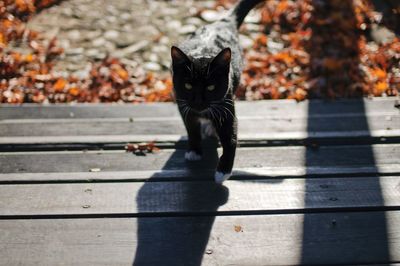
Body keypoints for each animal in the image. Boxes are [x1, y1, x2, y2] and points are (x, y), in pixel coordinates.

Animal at [170, 0, 264, 183]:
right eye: (188, 86)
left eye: (211, 87)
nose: (198, 102)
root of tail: (223, 21)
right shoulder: (183, 104)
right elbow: (191, 127)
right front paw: (194, 150)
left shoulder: (226, 103)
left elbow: (231, 137)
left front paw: (223, 170)